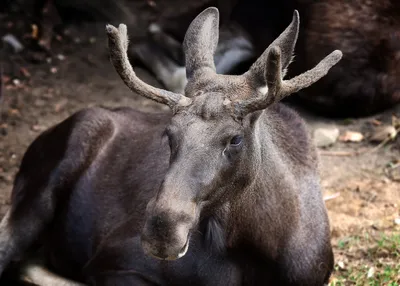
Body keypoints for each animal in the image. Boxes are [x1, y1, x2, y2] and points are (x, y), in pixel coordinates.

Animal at [0, 7, 344, 286]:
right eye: (169, 132)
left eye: (235, 138)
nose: (162, 233)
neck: (261, 249)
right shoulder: (112, 263)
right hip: (43, 188)